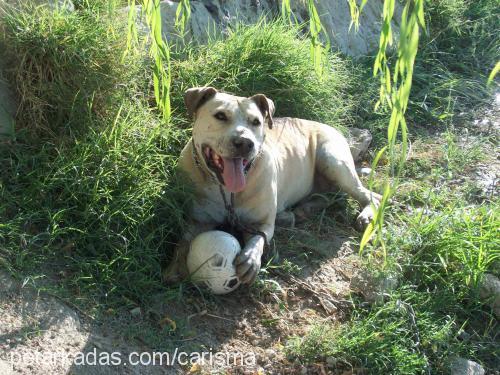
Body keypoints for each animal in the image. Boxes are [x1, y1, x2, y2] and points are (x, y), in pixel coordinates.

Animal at [164, 86, 378, 284]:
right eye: (220, 115)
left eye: (256, 122)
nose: (245, 142)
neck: (226, 191)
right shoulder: (198, 220)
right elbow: (183, 241)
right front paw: (174, 267)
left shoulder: (262, 223)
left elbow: (259, 238)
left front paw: (251, 259)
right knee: (330, 195)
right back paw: (302, 210)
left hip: (332, 160)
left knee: (369, 195)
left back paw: (366, 214)